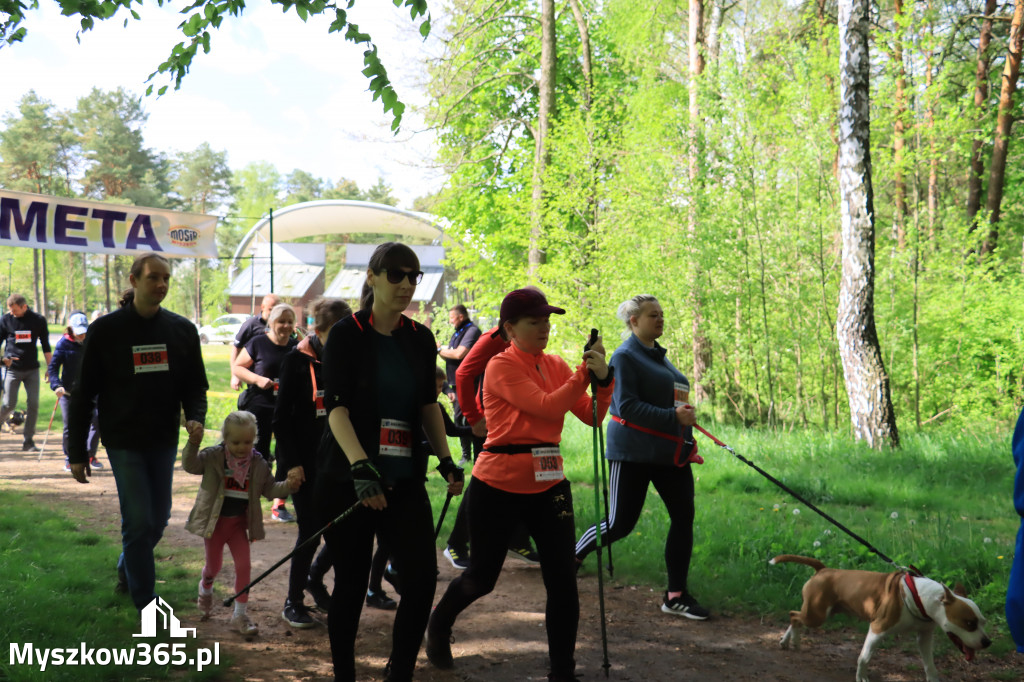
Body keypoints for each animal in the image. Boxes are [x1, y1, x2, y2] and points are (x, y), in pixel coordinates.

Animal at [770, 552, 987, 679]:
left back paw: (787, 640)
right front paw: (861, 677)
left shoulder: (924, 636)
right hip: (817, 614)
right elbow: (864, 657)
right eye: (969, 623)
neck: (921, 597)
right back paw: (794, 640)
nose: (987, 642)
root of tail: (823, 569)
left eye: (983, 622)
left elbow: (929, 665)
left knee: (796, 616)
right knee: (794, 616)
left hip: (819, 612)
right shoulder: (877, 629)